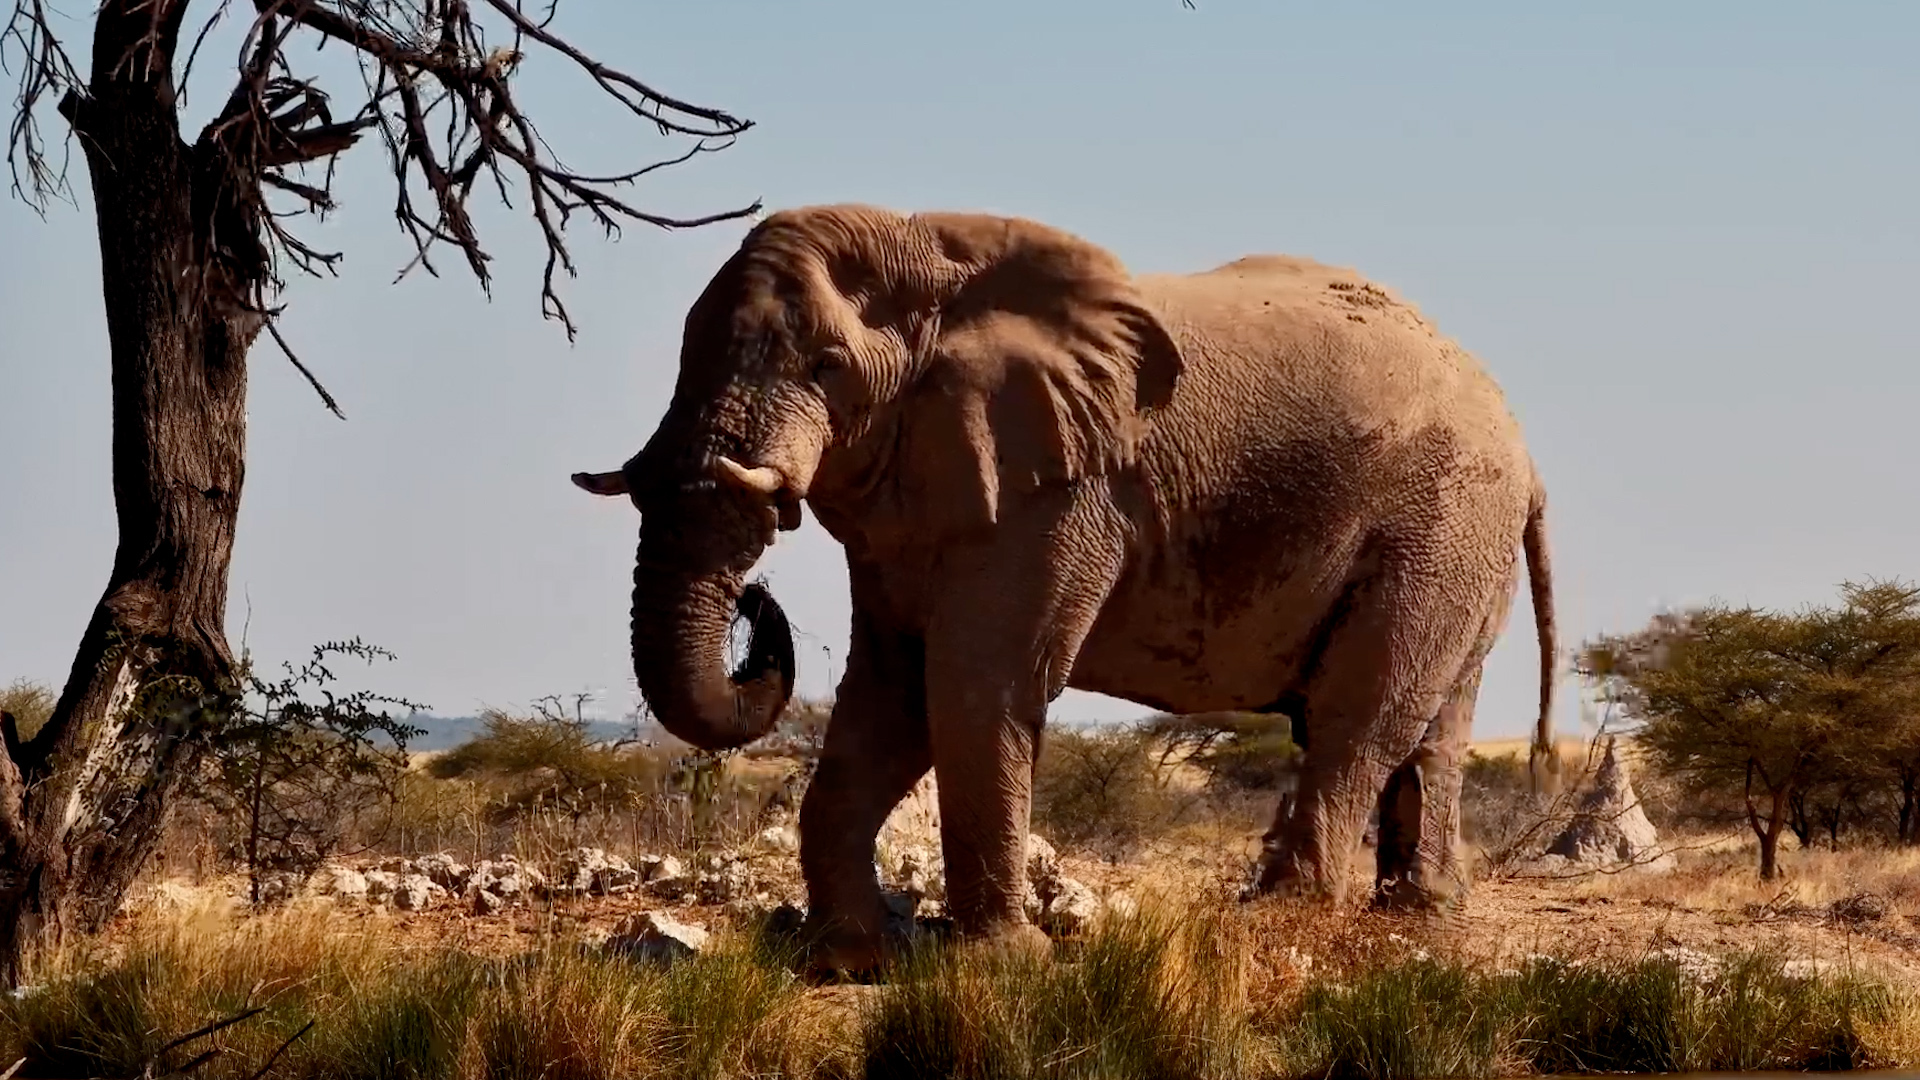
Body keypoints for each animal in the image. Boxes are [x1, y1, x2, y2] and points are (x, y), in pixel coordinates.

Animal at [572, 204, 1558, 974]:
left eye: (826, 366)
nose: (756, 602)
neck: (928, 244)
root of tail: (1518, 437)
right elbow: (893, 690)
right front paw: (849, 959)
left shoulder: (1066, 490)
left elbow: (981, 681)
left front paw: (1004, 963)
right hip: (1459, 542)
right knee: (1431, 720)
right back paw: (1421, 913)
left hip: (1442, 521)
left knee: (1360, 711)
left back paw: (1281, 920)